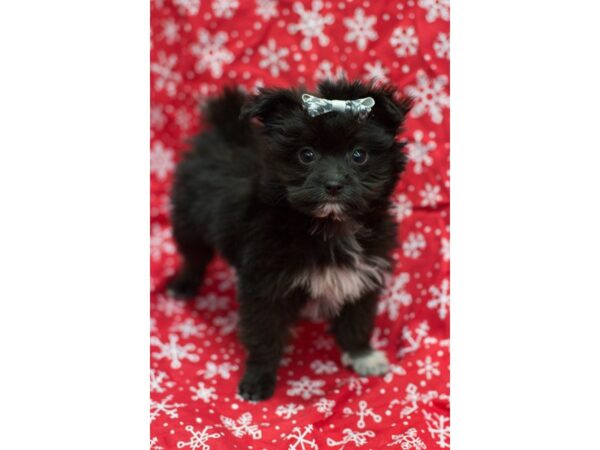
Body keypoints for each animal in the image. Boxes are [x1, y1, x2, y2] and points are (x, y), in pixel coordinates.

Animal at [169, 80, 412, 400]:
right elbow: (264, 333)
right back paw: (183, 285)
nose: (333, 185)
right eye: (306, 155)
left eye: (359, 155)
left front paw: (363, 354)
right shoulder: (266, 285)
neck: (329, 226)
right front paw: (258, 379)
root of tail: (223, 133)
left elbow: (357, 317)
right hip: (187, 217)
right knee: (193, 255)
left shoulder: (362, 274)